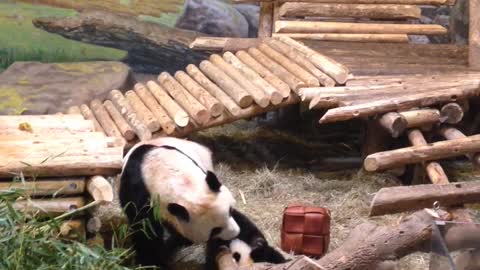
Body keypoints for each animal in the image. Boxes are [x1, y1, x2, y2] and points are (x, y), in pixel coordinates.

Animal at [120, 138, 240, 268]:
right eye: (215, 230)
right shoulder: (137, 192)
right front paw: (152, 263)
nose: (235, 234)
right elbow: (144, 231)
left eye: (230, 211)